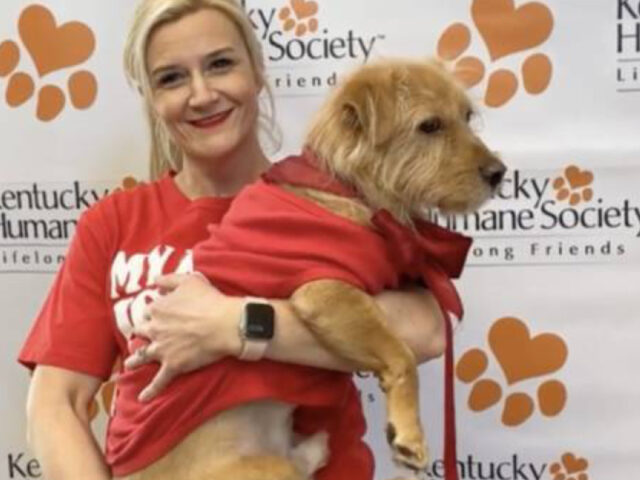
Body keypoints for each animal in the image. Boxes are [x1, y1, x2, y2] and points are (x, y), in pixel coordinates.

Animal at [117, 59, 502, 480]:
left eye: (466, 117)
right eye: (429, 126)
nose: (499, 173)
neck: (344, 188)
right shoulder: (324, 291)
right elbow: (400, 354)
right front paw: (409, 434)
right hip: (268, 469)